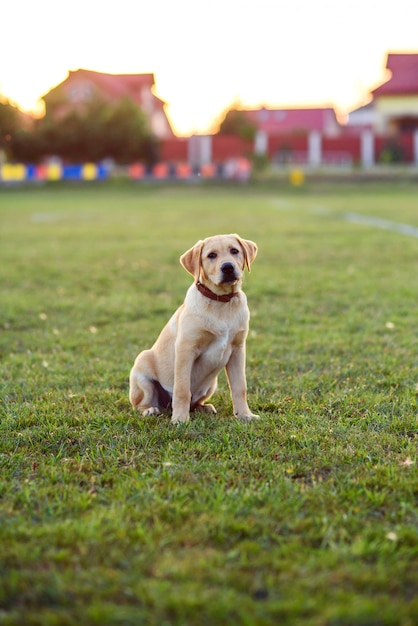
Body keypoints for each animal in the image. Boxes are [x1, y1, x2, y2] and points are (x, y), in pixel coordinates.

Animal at [129, 234, 258, 424]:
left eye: (234, 251)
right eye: (211, 255)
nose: (228, 267)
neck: (221, 302)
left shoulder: (238, 350)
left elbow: (240, 387)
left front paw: (245, 415)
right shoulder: (186, 349)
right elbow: (182, 390)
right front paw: (180, 420)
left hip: (211, 384)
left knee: (194, 403)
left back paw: (205, 408)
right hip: (142, 367)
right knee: (141, 404)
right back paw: (151, 410)